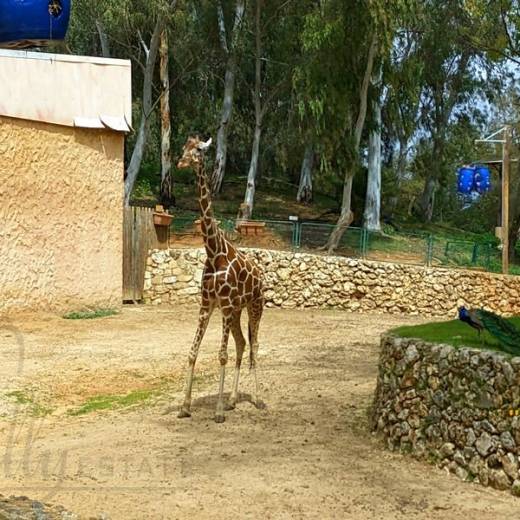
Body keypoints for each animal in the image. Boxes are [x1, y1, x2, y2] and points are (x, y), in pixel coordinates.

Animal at [176, 135, 264, 422]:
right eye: (183, 148)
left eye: (198, 150)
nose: (180, 163)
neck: (214, 252)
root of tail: (261, 276)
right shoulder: (207, 304)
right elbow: (193, 352)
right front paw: (185, 407)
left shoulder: (223, 306)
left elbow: (222, 355)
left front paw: (216, 412)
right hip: (237, 311)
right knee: (242, 343)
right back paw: (233, 400)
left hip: (255, 306)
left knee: (254, 344)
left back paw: (257, 399)